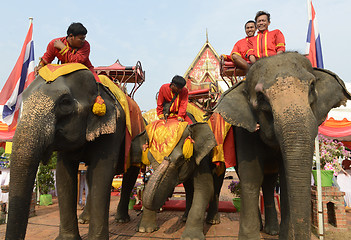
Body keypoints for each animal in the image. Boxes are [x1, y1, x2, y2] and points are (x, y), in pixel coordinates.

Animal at [5, 65, 132, 240]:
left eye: (65, 103)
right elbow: (63, 174)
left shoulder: (115, 127)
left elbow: (102, 171)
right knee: (90, 176)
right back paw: (84, 219)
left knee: (130, 175)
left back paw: (122, 220)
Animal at [213, 52, 351, 240]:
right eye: (261, 97)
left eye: (312, 86)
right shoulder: (243, 130)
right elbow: (251, 174)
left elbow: (286, 179)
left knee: (270, 182)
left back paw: (272, 230)